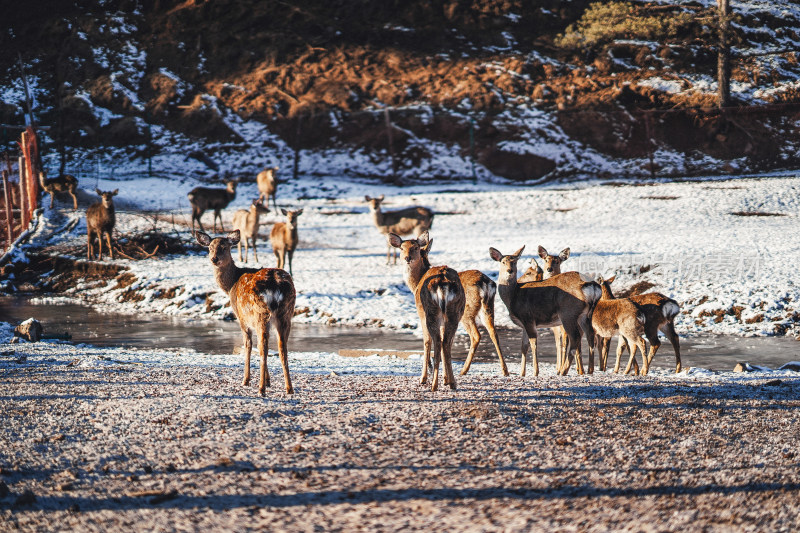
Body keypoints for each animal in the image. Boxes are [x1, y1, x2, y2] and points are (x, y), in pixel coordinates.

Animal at [195, 230, 296, 394]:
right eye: (210, 247)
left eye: (224, 247)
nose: (214, 259)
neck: (231, 285)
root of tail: (276, 284)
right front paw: (268, 380)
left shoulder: (242, 318)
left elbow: (248, 345)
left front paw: (246, 380)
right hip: (286, 313)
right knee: (282, 347)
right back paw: (289, 388)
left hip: (260, 313)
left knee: (263, 347)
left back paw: (261, 388)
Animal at [390, 231, 510, 376]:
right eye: (402, 248)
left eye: (416, 248)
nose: (407, 258)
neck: (416, 282)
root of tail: (485, 284)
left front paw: (432, 368)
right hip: (487, 307)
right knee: (493, 332)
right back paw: (504, 370)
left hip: (466, 312)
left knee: (476, 335)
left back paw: (463, 370)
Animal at [488, 246, 600, 376]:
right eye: (503, 262)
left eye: (515, 261)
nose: (509, 271)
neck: (513, 296)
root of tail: (591, 286)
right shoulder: (524, 323)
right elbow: (523, 347)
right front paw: (522, 373)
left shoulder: (528, 317)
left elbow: (533, 344)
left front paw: (535, 372)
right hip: (586, 315)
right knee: (590, 335)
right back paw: (590, 370)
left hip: (568, 312)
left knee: (575, 337)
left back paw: (563, 371)